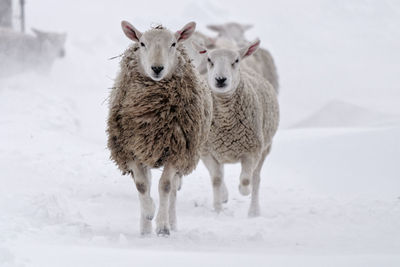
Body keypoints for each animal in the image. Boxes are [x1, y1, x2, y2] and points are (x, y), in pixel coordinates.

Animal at [106, 21, 212, 237]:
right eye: (142, 43)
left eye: (173, 44)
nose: (157, 68)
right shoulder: (130, 148)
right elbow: (141, 185)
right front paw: (149, 213)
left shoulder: (175, 149)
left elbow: (165, 186)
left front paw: (162, 225)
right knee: (147, 182)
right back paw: (145, 227)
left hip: (183, 155)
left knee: (172, 191)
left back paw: (171, 222)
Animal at [194, 38, 278, 218]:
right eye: (209, 60)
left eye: (236, 60)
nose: (220, 79)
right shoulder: (207, 151)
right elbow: (216, 178)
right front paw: (218, 209)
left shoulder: (252, 151)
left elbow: (246, 180)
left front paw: (243, 190)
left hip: (264, 148)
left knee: (256, 177)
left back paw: (254, 211)